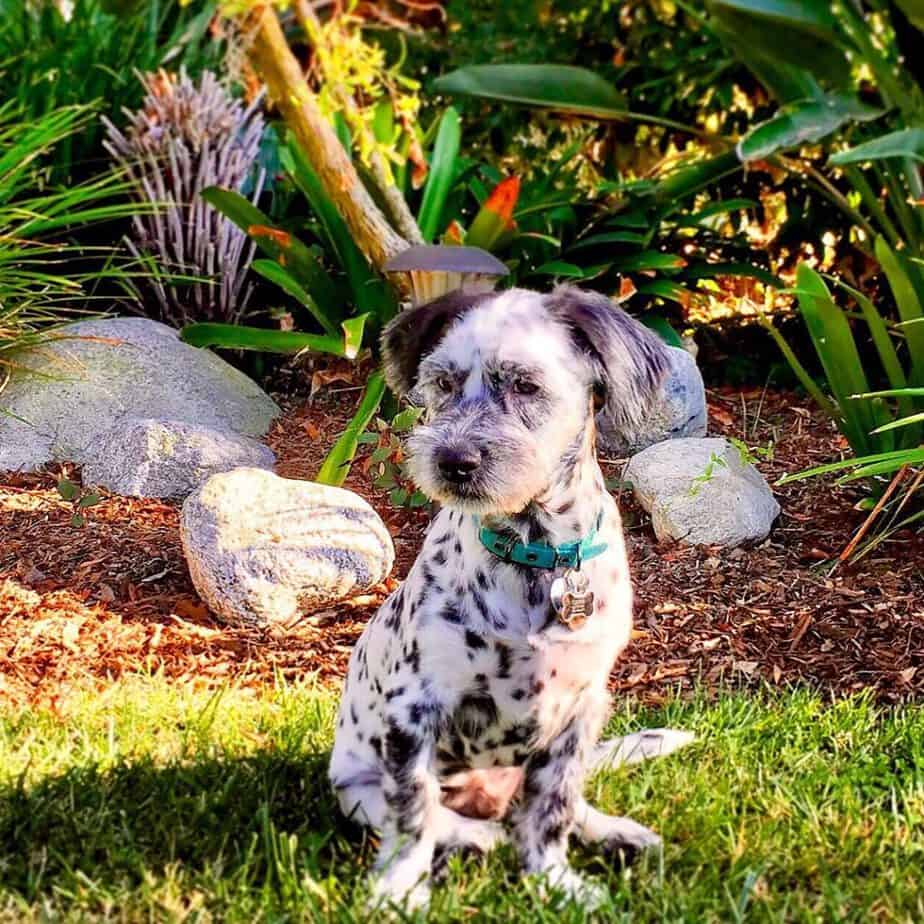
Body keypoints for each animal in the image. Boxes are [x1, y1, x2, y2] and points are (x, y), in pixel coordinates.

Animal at [330, 286, 692, 908]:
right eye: (443, 383)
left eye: (525, 385)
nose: (453, 462)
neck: (535, 556)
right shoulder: (412, 711)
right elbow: (413, 816)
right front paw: (398, 889)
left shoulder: (579, 711)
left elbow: (553, 810)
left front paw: (556, 882)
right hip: (356, 789)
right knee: (444, 819)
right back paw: (473, 835)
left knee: (559, 807)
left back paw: (615, 831)